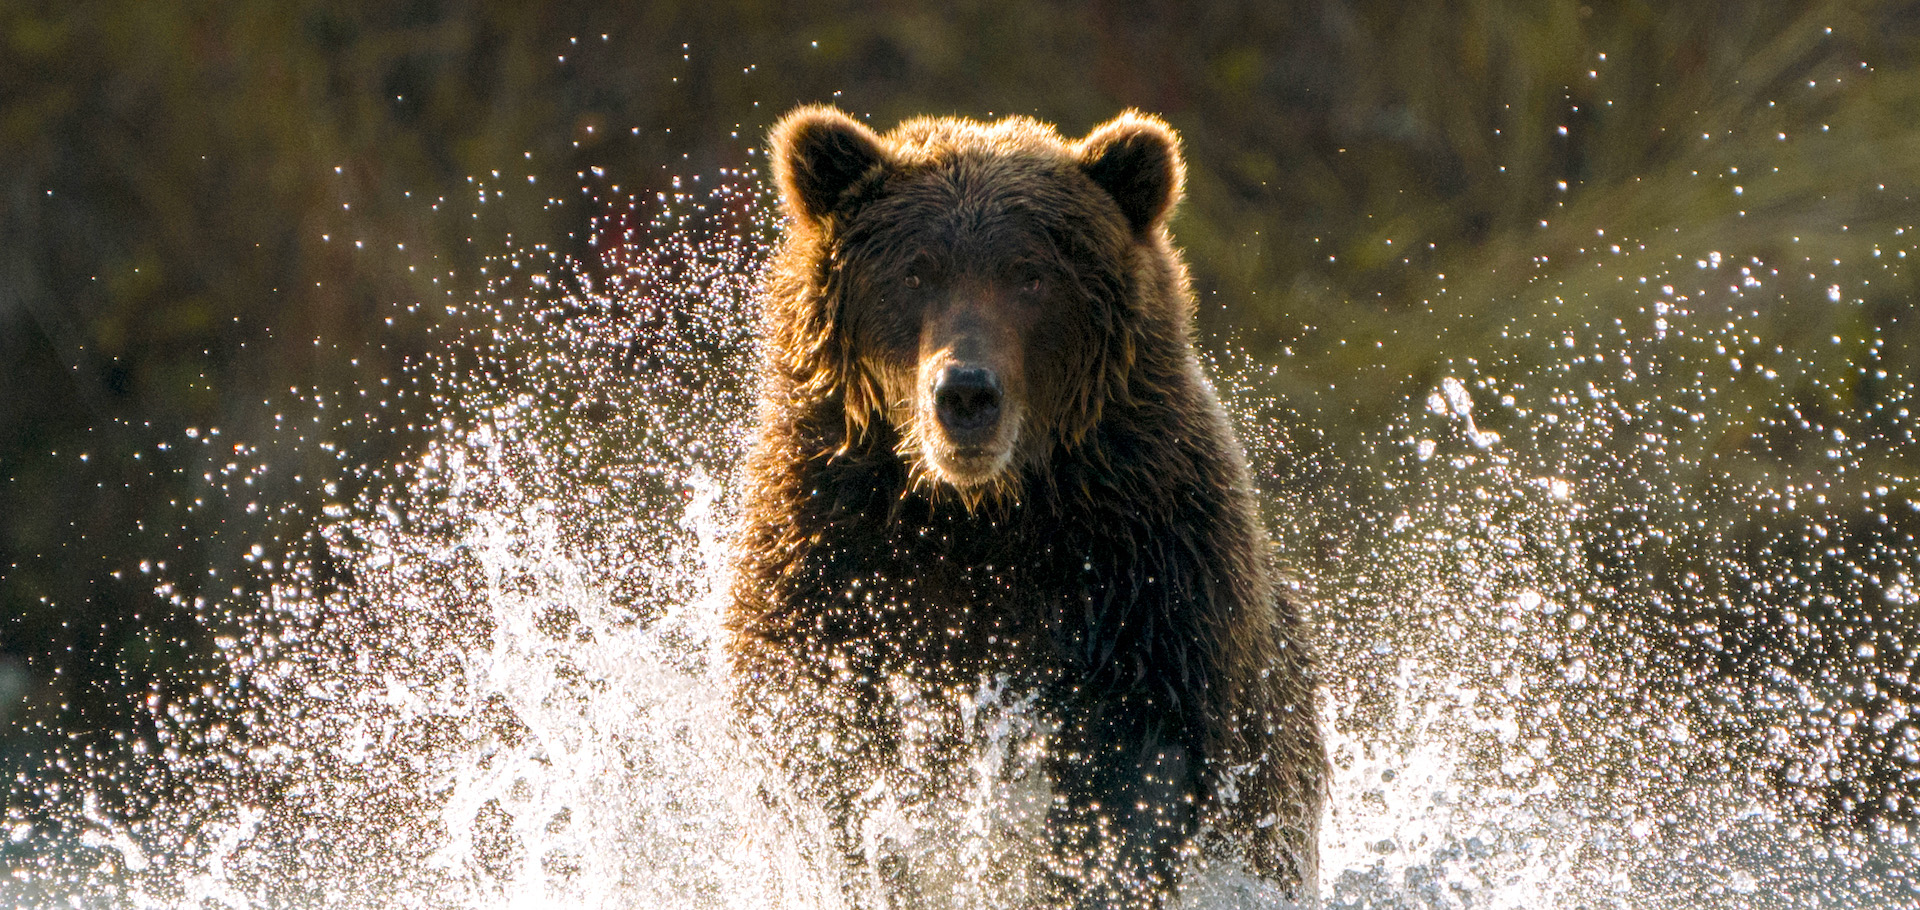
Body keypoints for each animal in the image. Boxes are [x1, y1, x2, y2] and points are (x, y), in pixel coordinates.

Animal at [725, 105, 1324, 909]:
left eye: (1030, 275)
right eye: (915, 270)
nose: (966, 393)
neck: (980, 515)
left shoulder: (1149, 564)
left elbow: (1148, 761)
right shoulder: (827, 552)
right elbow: (822, 741)